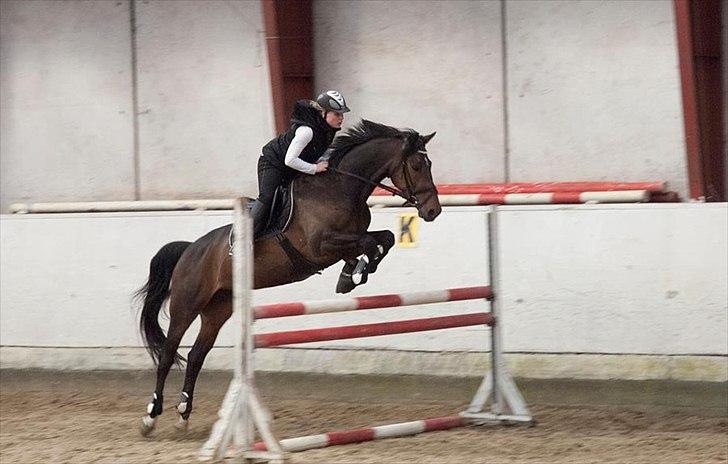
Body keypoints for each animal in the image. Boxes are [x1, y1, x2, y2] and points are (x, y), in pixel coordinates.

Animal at [136, 118, 444, 436]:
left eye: (429, 164)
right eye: (417, 165)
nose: (433, 210)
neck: (341, 189)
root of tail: (189, 250)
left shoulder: (347, 240)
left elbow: (384, 239)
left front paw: (351, 275)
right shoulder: (322, 246)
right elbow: (371, 243)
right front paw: (356, 274)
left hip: (218, 308)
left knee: (197, 355)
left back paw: (183, 414)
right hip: (187, 304)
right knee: (168, 354)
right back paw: (151, 416)